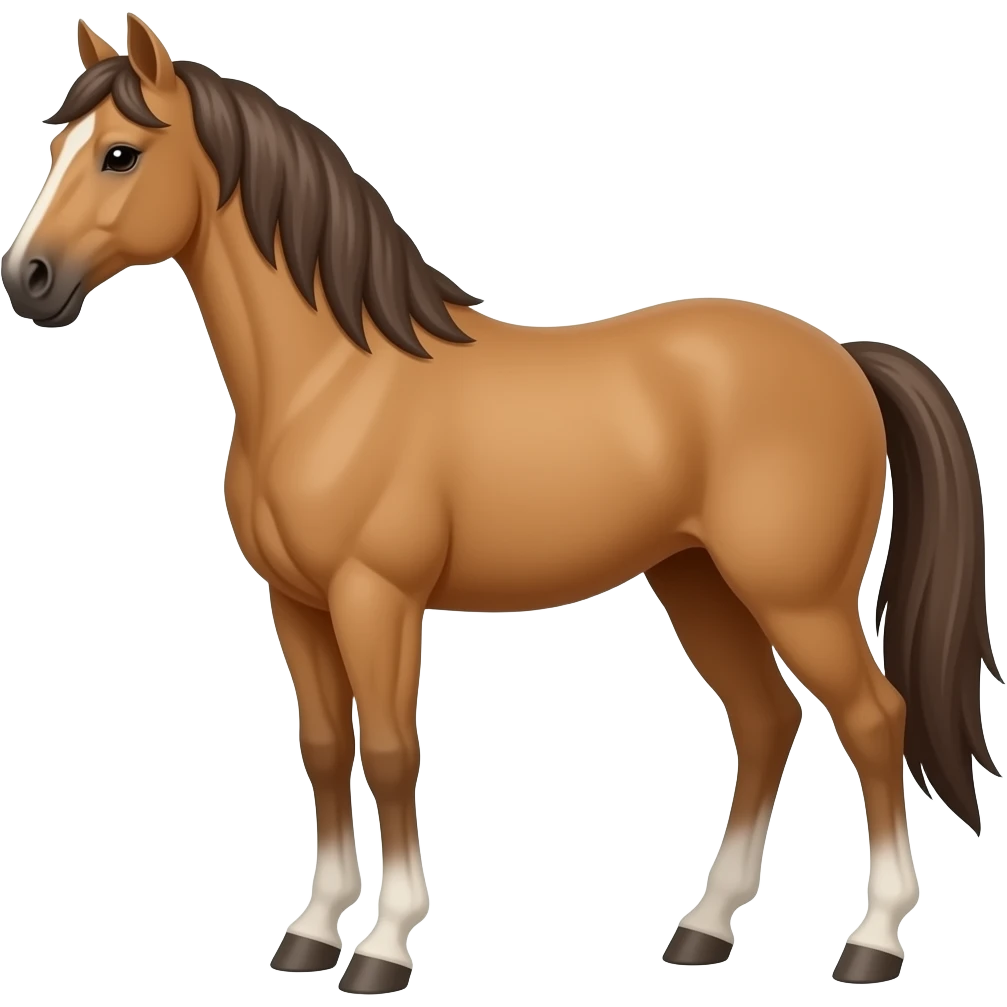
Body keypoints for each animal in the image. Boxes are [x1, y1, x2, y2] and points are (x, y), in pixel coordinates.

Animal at [2, 14, 998, 992]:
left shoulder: (376, 598)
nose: (29, 279)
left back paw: (872, 940)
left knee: (872, 719)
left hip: (796, 596)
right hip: (698, 583)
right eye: (57, 143)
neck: (330, 381)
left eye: (121, 153)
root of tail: (844, 358)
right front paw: (312, 931)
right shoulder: (296, 603)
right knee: (764, 721)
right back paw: (703, 929)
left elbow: (391, 751)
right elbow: (323, 750)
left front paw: (383, 946)